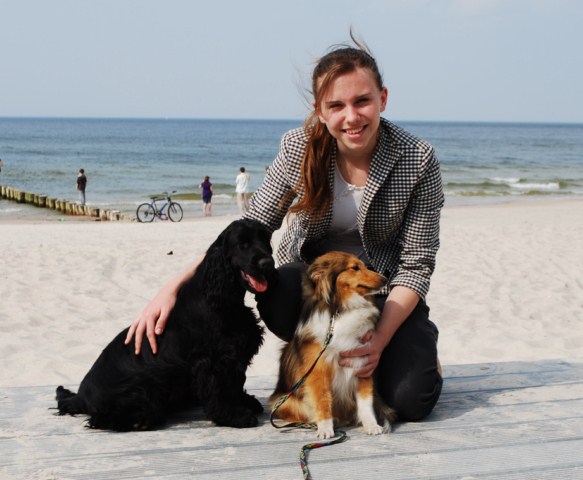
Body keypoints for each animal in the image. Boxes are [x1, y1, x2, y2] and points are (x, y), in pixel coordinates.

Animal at [56, 218, 276, 431]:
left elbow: (236, 382)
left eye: (265, 240)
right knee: (102, 418)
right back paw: (140, 420)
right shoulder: (211, 359)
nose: (267, 263)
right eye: (242, 244)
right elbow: (220, 389)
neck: (223, 300)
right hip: (143, 386)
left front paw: (245, 403)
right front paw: (234, 416)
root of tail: (81, 396)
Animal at [270, 251, 396, 439]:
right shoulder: (318, 370)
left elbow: (365, 401)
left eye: (364, 265)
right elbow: (323, 400)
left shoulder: (362, 362)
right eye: (355, 268)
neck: (340, 310)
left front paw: (372, 425)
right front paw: (325, 428)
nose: (385, 279)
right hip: (285, 401)